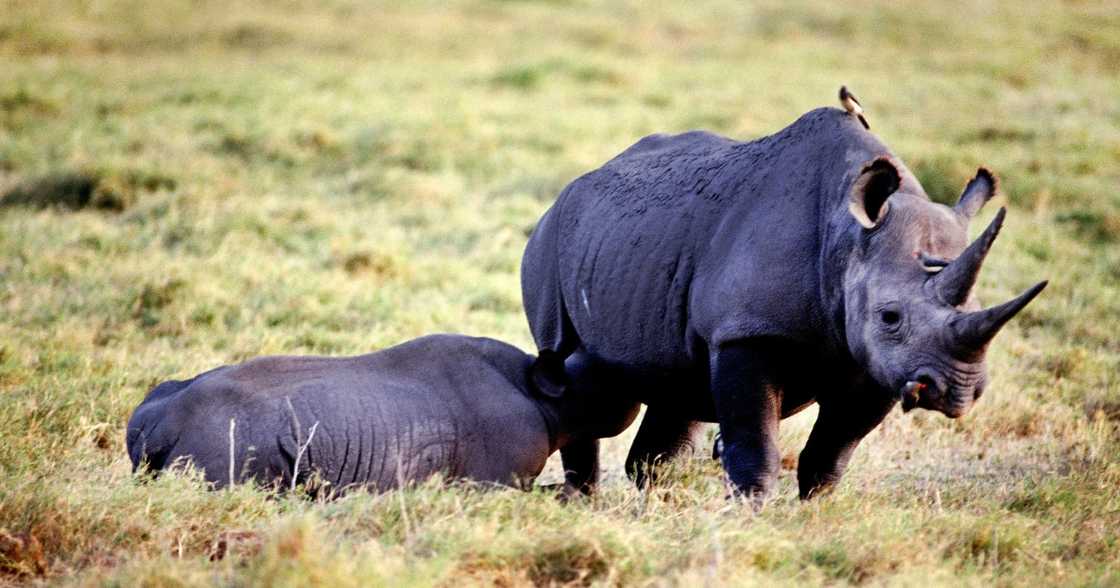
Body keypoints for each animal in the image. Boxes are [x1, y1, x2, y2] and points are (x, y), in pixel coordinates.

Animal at [520, 92, 1047, 500]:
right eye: (890, 316)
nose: (957, 392)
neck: (848, 239)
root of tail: (577, 184)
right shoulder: (746, 332)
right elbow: (757, 444)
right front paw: (749, 513)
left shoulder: (877, 362)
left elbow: (832, 452)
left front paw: (818, 513)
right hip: (549, 242)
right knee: (568, 363)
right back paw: (582, 498)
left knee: (675, 386)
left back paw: (656, 501)